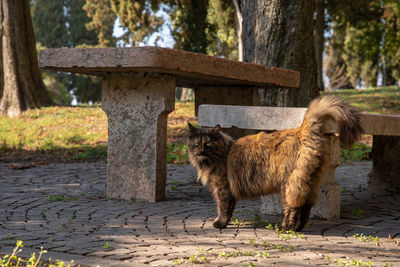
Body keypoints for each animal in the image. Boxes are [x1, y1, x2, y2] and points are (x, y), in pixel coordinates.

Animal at [188, 96, 362, 232]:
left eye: (208, 144)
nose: (200, 151)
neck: (223, 153)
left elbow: (224, 208)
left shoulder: (223, 188)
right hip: (309, 181)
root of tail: (302, 130)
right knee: (306, 206)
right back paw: (298, 228)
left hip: (289, 184)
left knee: (292, 208)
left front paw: (220, 223)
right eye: (196, 143)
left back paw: (285, 227)